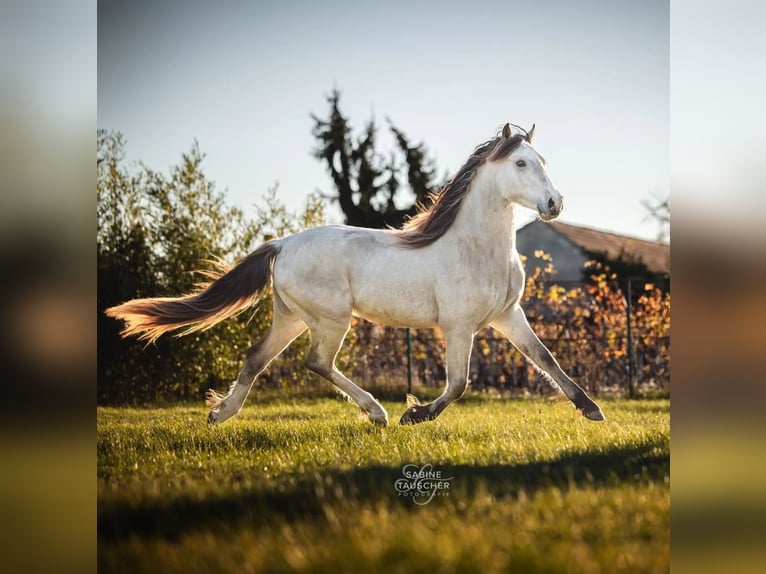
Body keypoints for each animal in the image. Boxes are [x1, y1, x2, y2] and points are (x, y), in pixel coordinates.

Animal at [106, 122, 608, 428]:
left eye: (543, 160)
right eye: (521, 163)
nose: (554, 204)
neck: (477, 248)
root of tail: (282, 244)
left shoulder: (509, 316)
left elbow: (546, 359)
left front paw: (591, 409)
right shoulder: (459, 326)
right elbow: (459, 383)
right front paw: (415, 414)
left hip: (291, 317)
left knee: (256, 357)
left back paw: (220, 414)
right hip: (331, 319)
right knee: (316, 363)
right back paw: (378, 413)